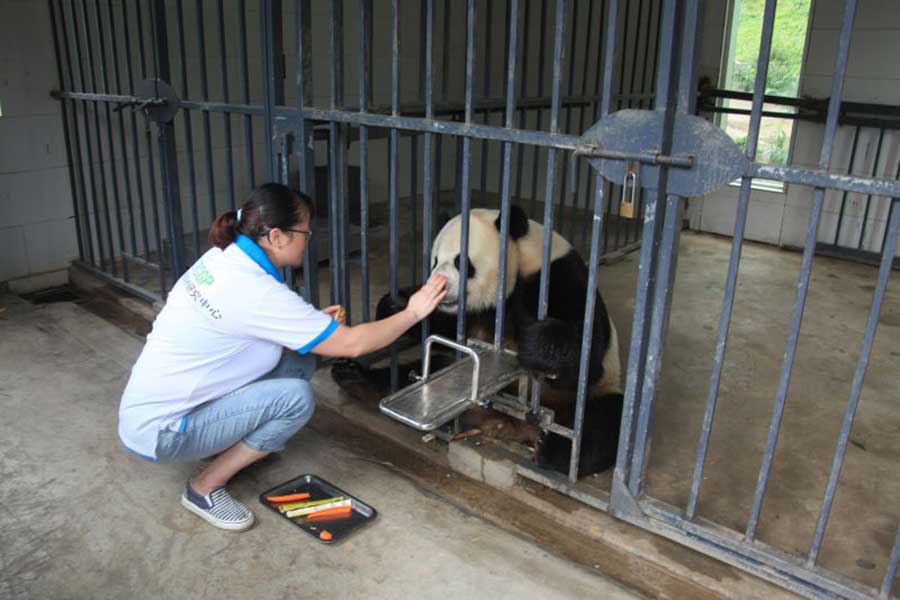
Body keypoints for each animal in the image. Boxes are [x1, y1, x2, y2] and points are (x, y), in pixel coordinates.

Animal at [332, 204, 624, 476]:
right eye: (434, 260)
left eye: (461, 262)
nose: (438, 282)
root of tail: (504, 423)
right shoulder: (474, 311)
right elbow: (444, 325)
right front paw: (396, 305)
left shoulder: (557, 277)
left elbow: (585, 356)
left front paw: (536, 346)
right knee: (419, 373)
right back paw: (354, 377)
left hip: (587, 398)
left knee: (602, 423)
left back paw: (553, 451)